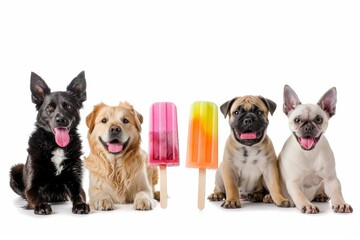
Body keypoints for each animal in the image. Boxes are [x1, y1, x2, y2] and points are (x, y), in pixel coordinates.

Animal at [9, 71, 90, 216]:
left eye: (69, 106)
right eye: (50, 108)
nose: (60, 119)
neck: (56, 145)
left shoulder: (76, 181)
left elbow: (79, 194)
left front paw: (80, 204)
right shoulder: (32, 186)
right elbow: (35, 195)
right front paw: (41, 205)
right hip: (15, 169)